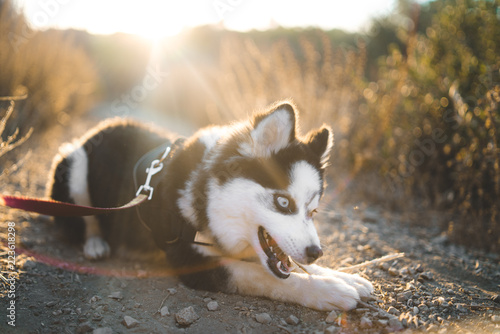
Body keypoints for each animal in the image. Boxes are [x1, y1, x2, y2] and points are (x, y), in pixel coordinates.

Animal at [47, 102, 374, 310]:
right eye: (283, 202)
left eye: (313, 211)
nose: (316, 252)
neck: (209, 196)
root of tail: (103, 127)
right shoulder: (187, 256)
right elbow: (262, 276)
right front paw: (329, 290)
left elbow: (286, 266)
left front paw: (346, 277)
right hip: (73, 163)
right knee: (87, 217)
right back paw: (96, 243)